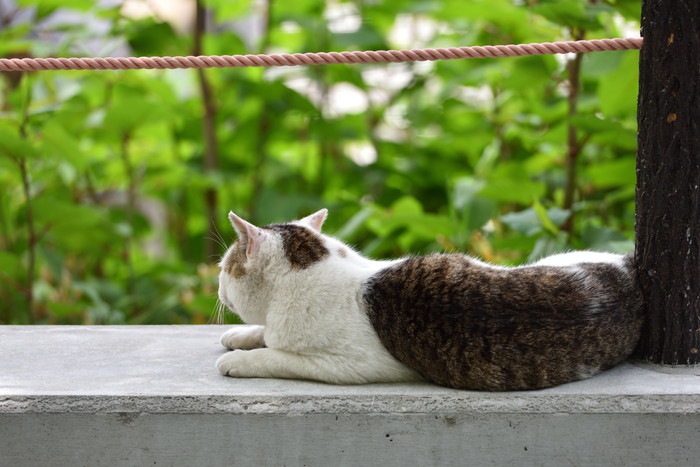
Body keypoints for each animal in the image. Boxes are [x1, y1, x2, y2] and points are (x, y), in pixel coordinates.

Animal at [215, 209, 644, 392]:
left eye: (223, 267)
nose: (218, 286)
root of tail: (627, 274)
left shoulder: (347, 365)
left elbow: (277, 355)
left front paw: (240, 359)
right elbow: (262, 334)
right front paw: (241, 336)